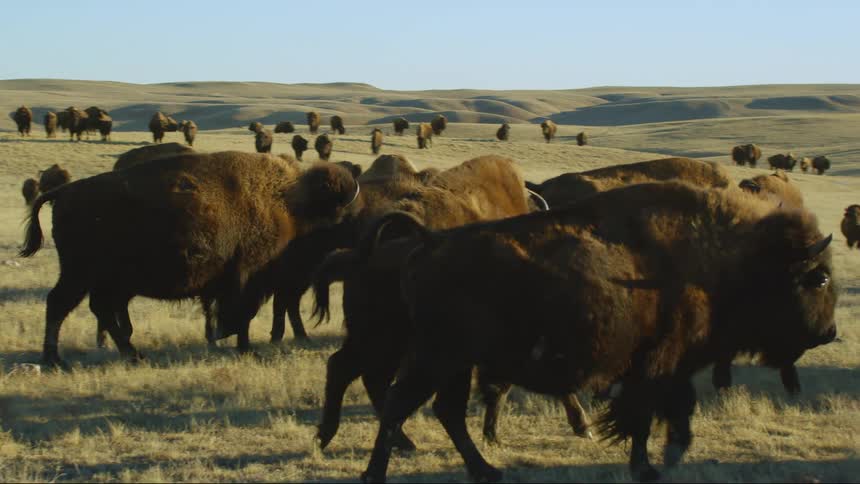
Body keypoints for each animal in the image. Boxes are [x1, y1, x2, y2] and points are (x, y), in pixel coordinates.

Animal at [20, 151, 360, 367]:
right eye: (342, 215)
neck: (291, 204)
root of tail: (63, 192)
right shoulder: (248, 277)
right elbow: (243, 314)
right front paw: (241, 345)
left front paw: (231, 341)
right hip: (81, 274)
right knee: (61, 304)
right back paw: (56, 359)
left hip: (98, 278)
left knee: (92, 308)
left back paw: (128, 355)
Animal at [359, 181, 837, 483]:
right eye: (819, 279)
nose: (829, 333)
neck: (729, 257)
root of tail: (430, 241)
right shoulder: (657, 364)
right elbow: (643, 418)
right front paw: (648, 467)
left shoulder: (672, 367)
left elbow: (677, 411)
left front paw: (672, 454)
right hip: (438, 356)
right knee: (402, 405)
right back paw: (375, 475)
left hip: (454, 361)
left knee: (446, 411)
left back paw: (486, 471)